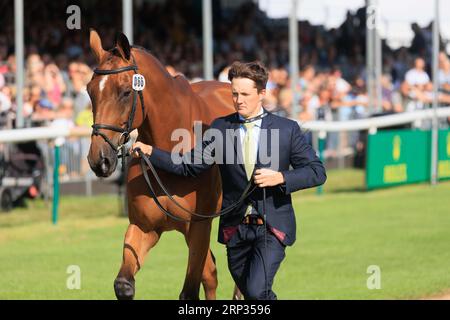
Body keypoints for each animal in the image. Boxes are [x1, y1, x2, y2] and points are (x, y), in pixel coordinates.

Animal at [85, 30, 237, 300]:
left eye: (126, 92)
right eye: (90, 91)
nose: (99, 159)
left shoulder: (199, 226)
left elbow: (190, 291)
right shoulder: (144, 227)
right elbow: (124, 284)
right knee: (211, 274)